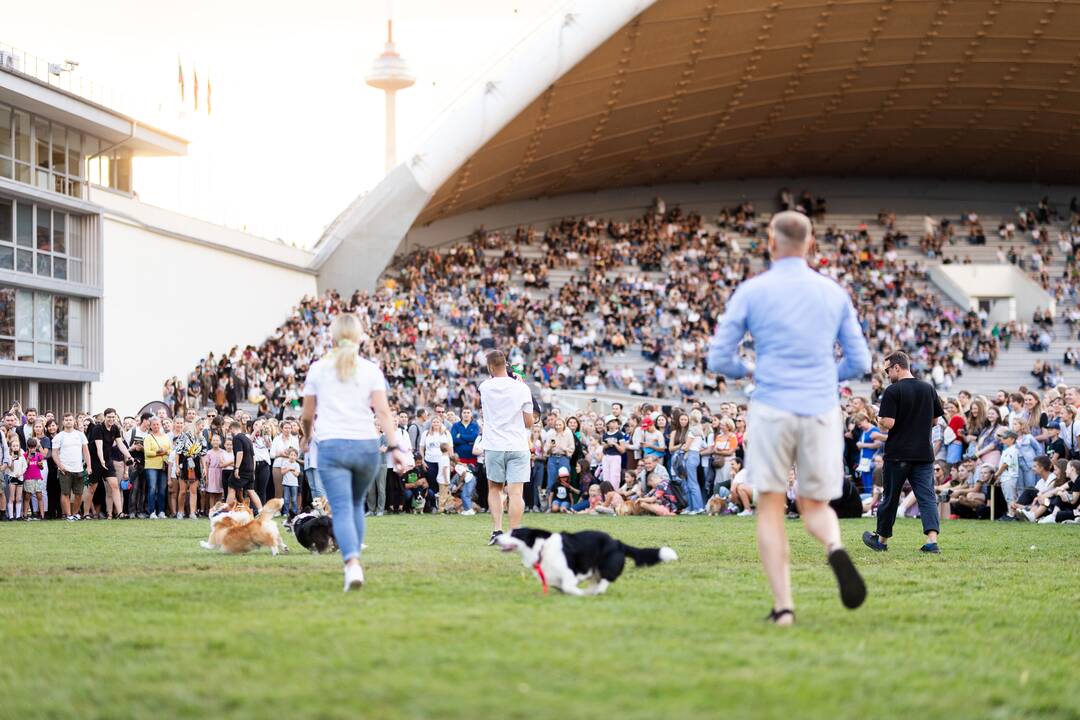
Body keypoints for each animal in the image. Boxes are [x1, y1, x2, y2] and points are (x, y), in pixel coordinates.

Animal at [494, 526, 673, 595]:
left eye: (514, 534)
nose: (496, 538)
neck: (540, 548)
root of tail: (617, 543)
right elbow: (560, 586)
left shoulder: (568, 572)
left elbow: (568, 586)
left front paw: (579, 593)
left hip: (606, 565)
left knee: (606, 579)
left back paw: (596, 592)